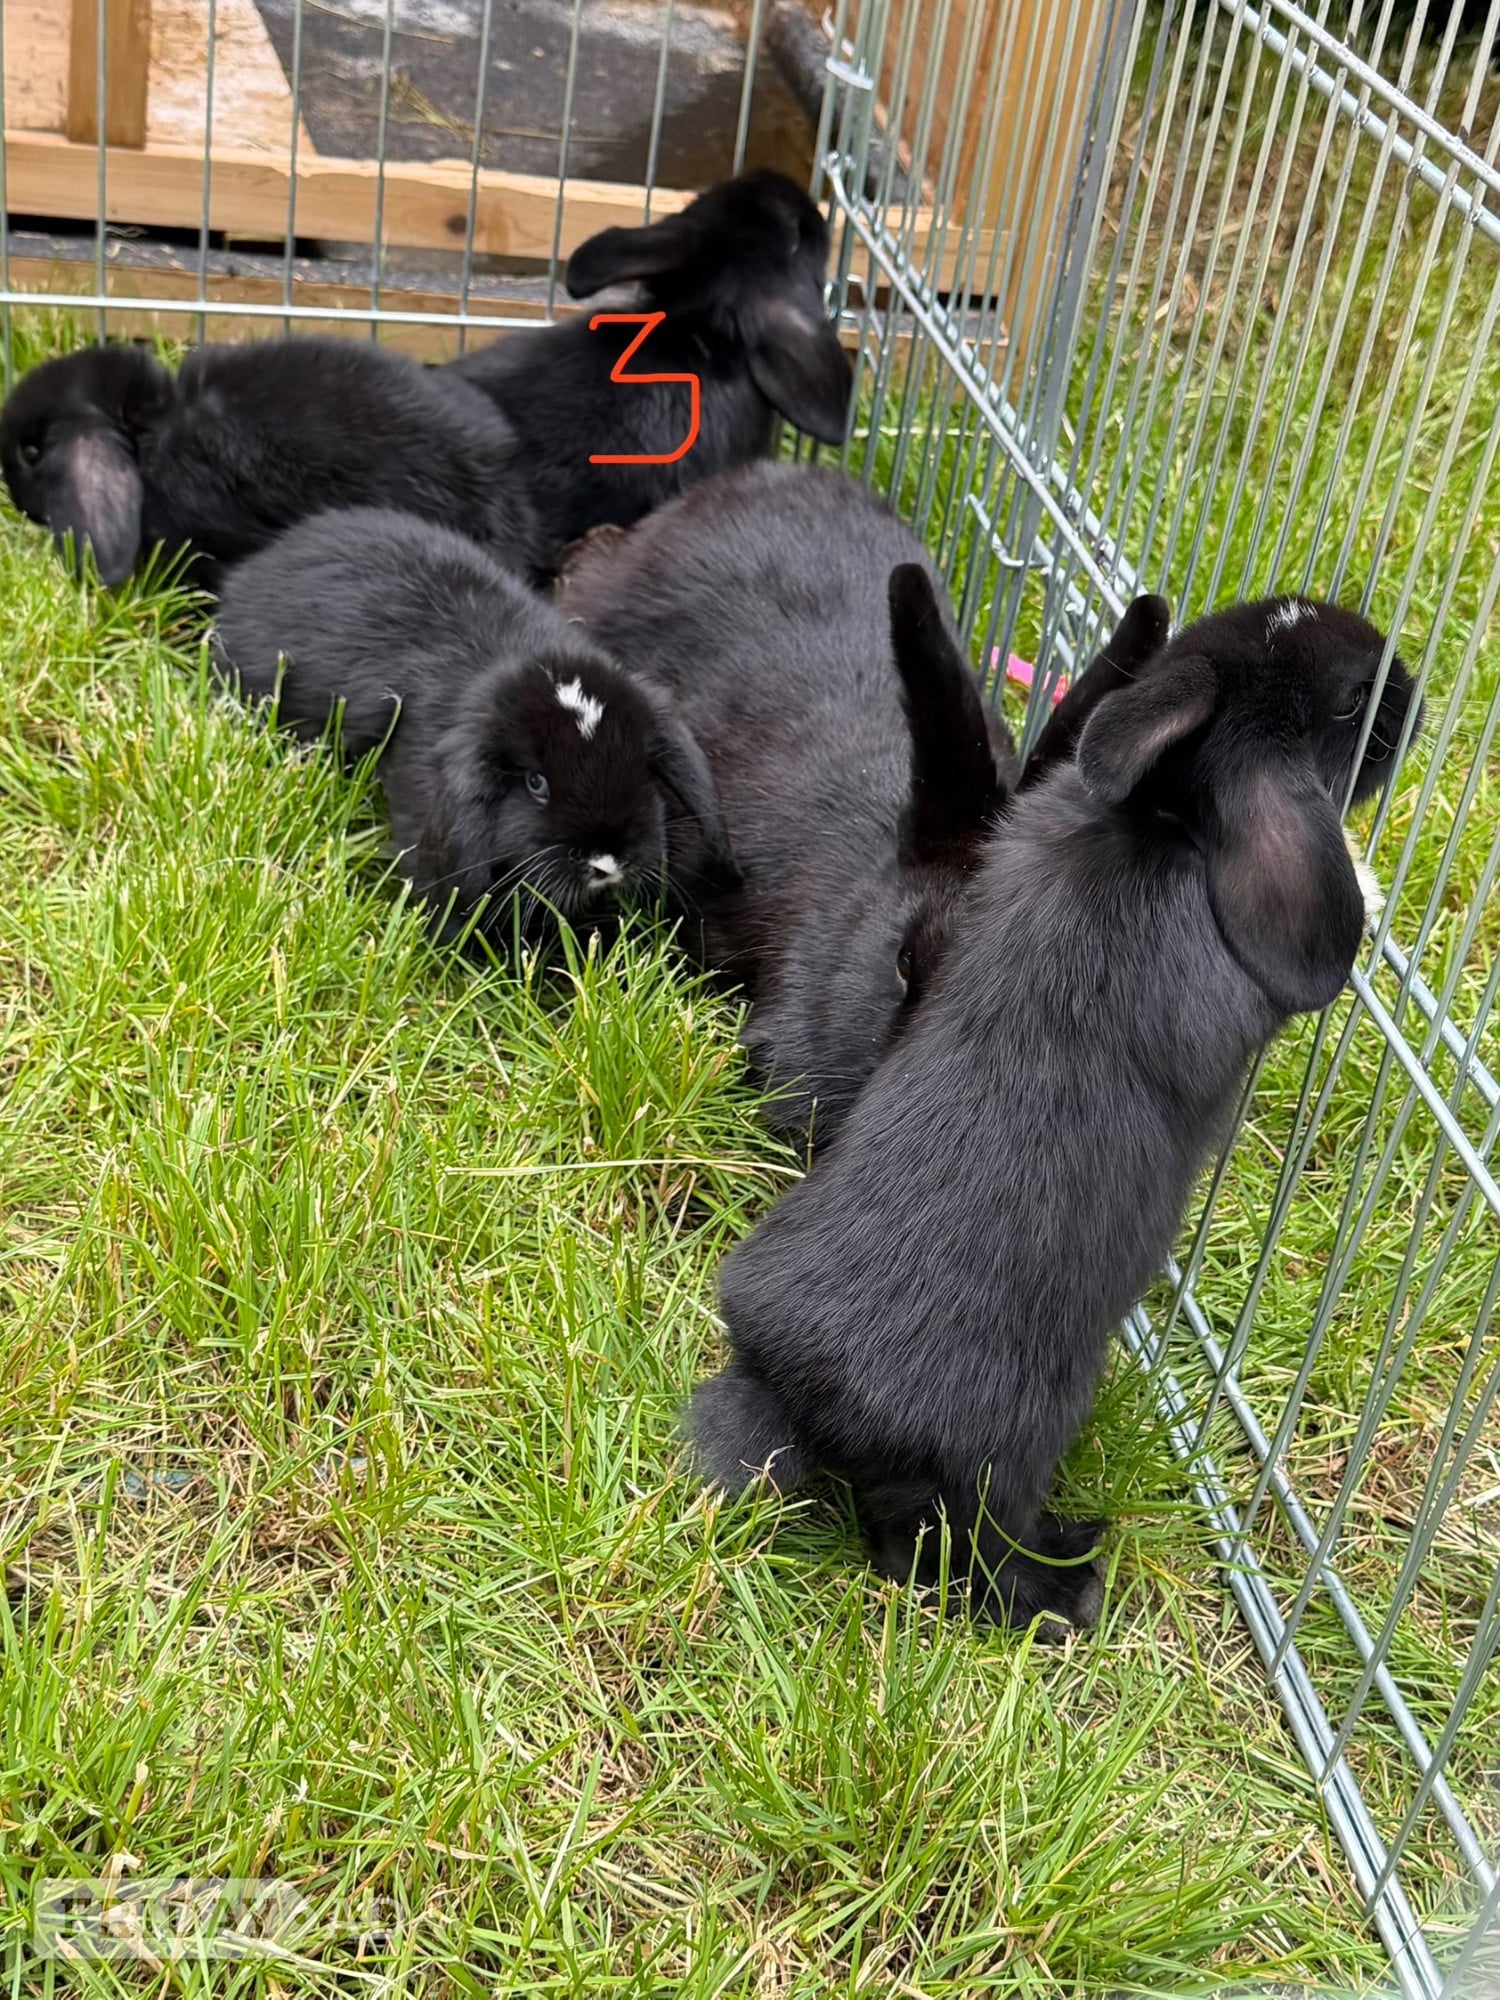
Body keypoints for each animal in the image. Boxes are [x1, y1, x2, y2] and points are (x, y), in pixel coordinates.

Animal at [687, 592, 1420, 1631]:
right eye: (1355, 699)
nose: (1412, 687)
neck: (1165, 818)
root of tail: (798, 1398)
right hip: (1006, 1456)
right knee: (938, 1555)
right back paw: (1071, 1583)